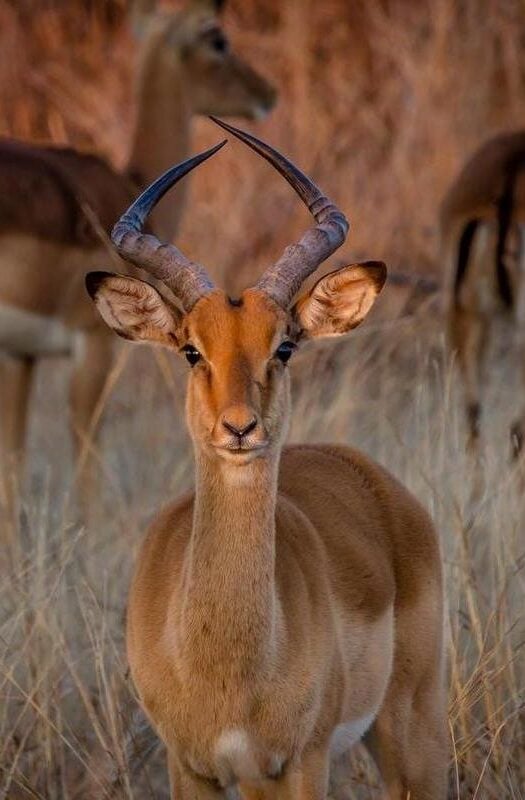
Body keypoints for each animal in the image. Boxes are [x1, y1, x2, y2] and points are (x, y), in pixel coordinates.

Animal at [0, 0, 274, 500]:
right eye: (218, 39)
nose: (267, 92)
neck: (128, 185)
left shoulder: (19, 356)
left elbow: (12, 470)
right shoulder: (92, 343)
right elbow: (87, 466)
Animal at [87, 120, 446, 800]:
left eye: (284, 346)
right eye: (191, 350)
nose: (239, 427)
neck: (226, 666)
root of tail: (373, 476)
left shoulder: (298, 763)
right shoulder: (191, 766)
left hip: (408, 727)